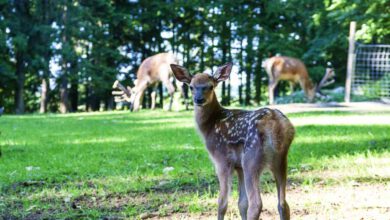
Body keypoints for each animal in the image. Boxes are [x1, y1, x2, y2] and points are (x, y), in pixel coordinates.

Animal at [171, 62, 296, 220]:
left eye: (210, 86)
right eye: (191, 86)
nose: (198, 99)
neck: (210, 125)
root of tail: (277, 125)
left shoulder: (222, 160)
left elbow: (222, 202)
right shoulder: (238, 166)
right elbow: (242, 203)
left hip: (251, 158)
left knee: (256, 203)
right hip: (280, 160)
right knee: (283, 203)